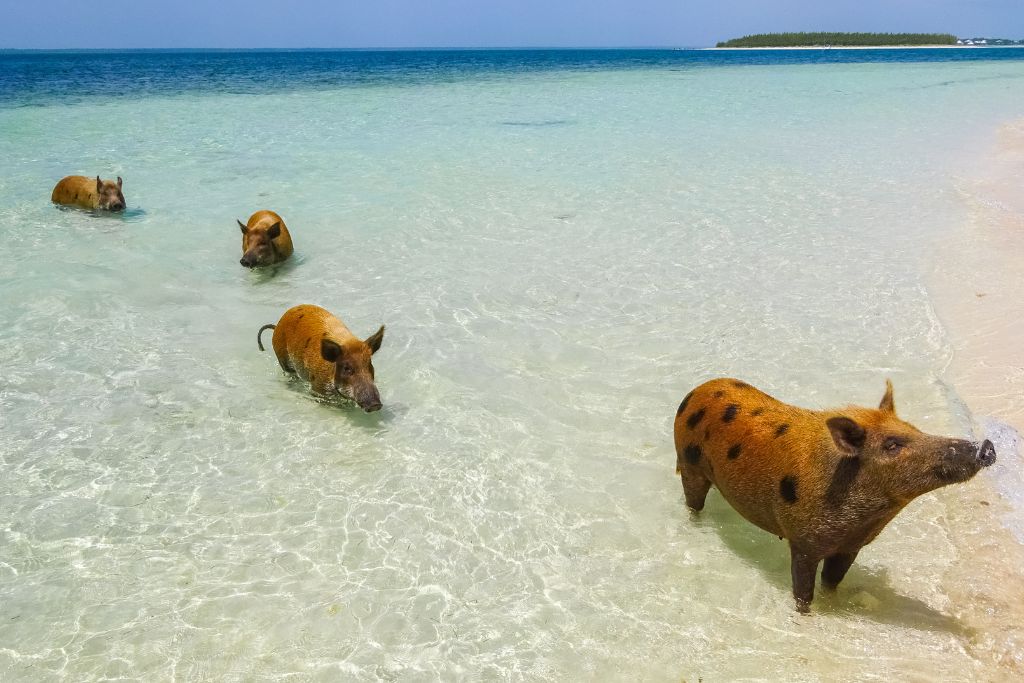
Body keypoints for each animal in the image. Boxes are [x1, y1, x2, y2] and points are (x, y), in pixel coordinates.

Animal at [673, 378, 996, 612]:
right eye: (891, 444)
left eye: (915, 429)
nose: (986, 446)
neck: (866, 518)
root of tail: (697, 390)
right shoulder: (803, 542)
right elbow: (803, 592)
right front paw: (804, 615)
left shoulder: (850, 547)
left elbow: (832, 582)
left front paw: (836, 602)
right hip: (689, 463)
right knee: (693, 501)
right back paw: (694, 523)